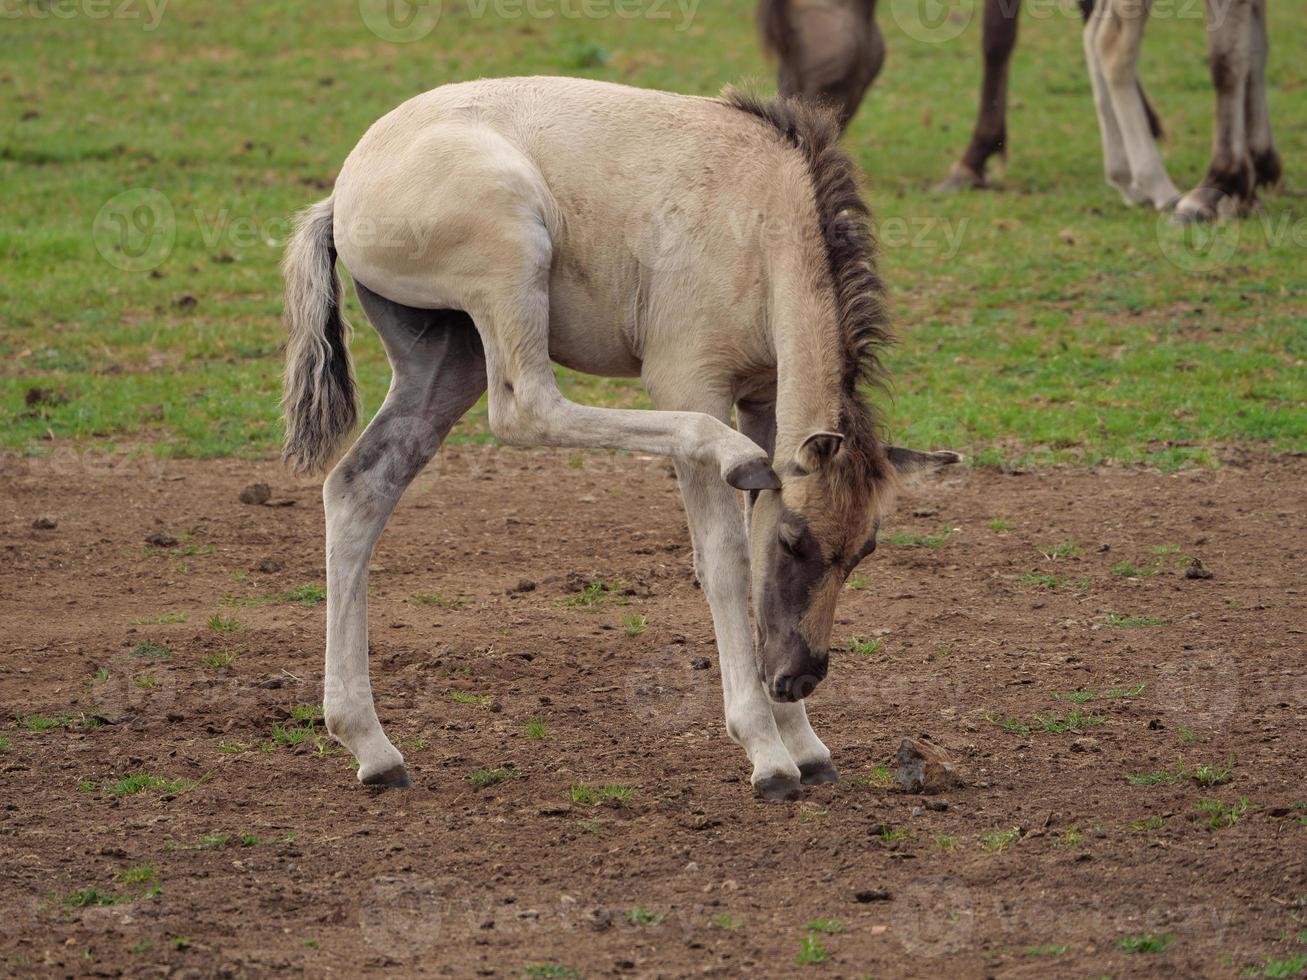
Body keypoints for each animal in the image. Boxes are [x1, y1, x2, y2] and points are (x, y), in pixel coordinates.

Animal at [281, 74, 956, 799]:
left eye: (863, 551)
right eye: (793, 543)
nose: (797, 676)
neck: (762, 217)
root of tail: (344, 195)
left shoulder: (763, 397)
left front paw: (804, 744)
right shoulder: (693, 384)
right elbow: (725, 559)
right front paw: (766, 753)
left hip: (446, 354)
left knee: (358, 488)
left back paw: (372, 747)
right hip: (513, 256)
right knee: (525, 409)